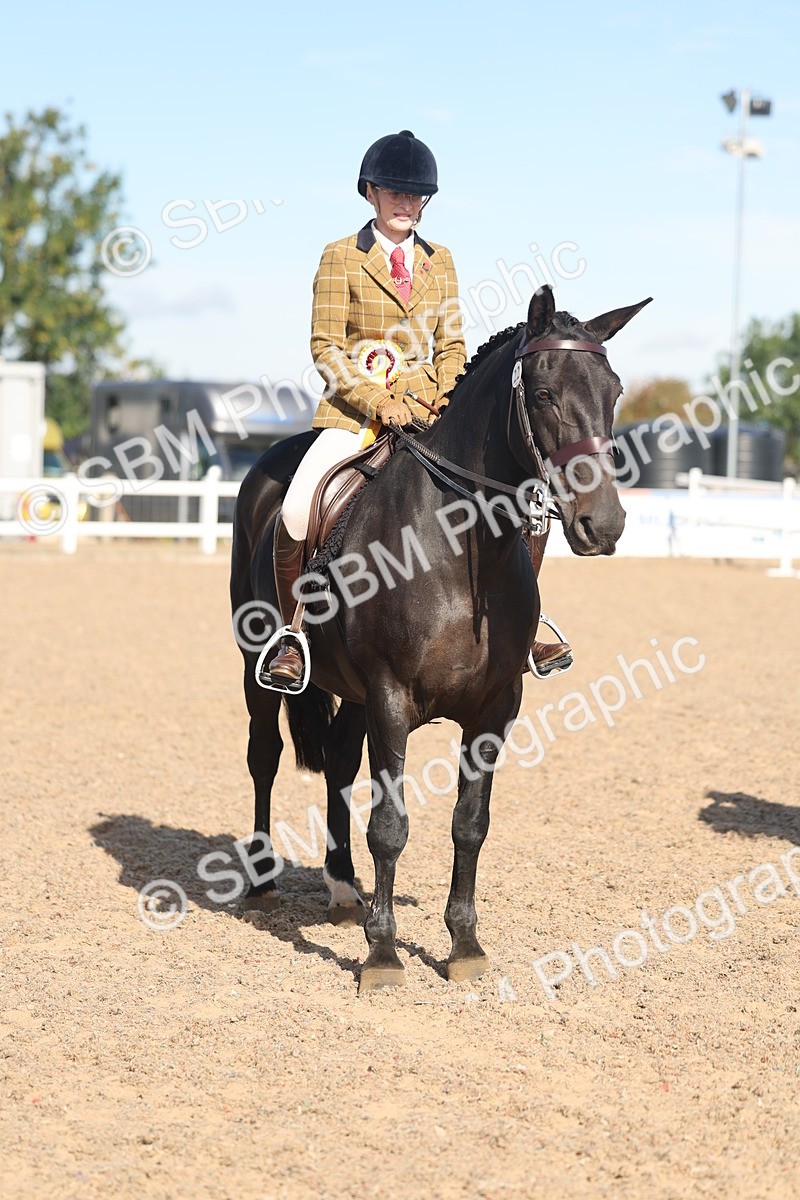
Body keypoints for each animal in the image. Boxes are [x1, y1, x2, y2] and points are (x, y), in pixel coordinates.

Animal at [229, 283, 651, 993]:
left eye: (614, 390)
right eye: (543, 393)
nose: (604, 524)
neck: (458, 547)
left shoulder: (493, 709)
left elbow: (469, 824)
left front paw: (464, 945)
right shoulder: (392, 699)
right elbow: (390, 826)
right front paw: (381, 955)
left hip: (355, 694)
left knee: (337, 764)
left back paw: (342, 889)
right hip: (257, 661)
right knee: (264, 755)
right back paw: (263, 882)